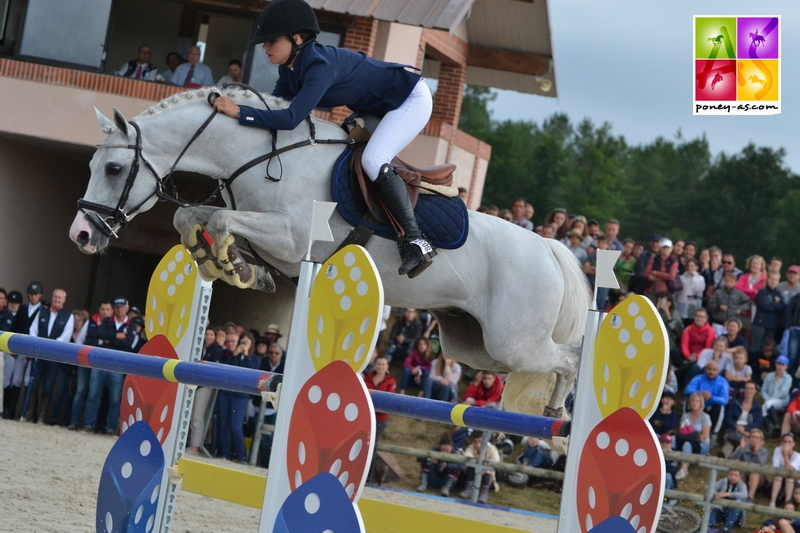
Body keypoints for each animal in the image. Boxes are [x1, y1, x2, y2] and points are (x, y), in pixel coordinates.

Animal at [69, 87, 592, 420]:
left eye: (114, 169)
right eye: (92, 165)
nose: (81, 235)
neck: (263, 157)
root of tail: (549, 248)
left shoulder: (292, 238)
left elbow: (217, 222)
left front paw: (232, 265)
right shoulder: (262, 232)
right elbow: (193, 218)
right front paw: (229, 266)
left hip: (513, 341)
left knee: (570, 356)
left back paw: (559, 416)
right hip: (474, 346)